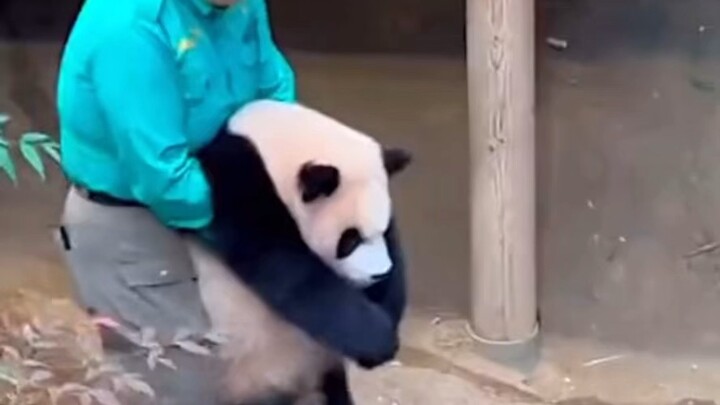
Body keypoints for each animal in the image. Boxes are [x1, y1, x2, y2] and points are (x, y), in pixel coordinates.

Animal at [183, 100, 412, 405]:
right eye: (350, 239)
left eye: (382, 229)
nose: (379, 274)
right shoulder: (236, 185)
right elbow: (288, 269)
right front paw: (378, 341)